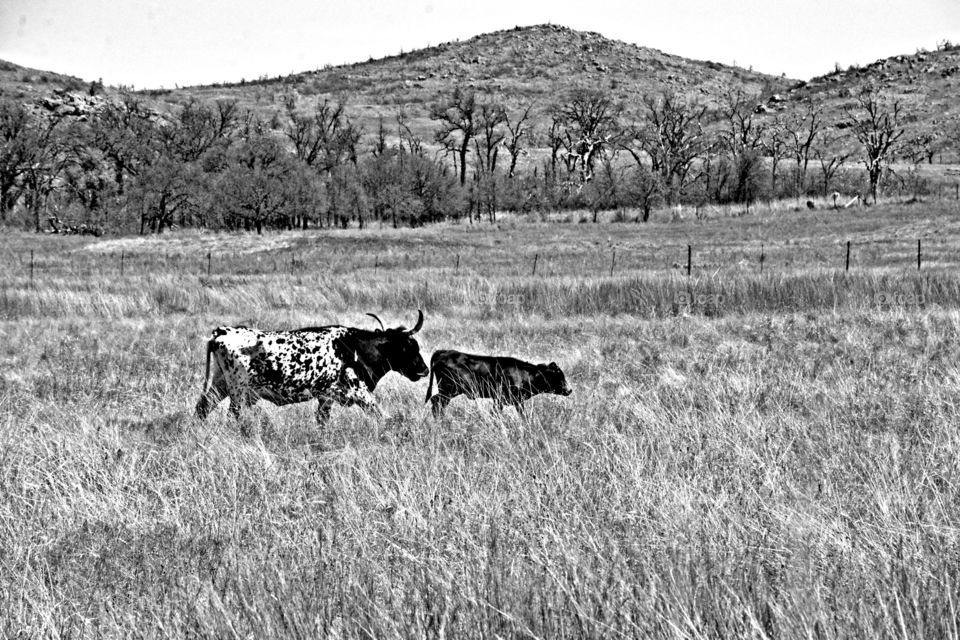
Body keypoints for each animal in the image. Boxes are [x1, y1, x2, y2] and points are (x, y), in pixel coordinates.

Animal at [195, 311, 428, 428]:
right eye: (408, 347)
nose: (424, 370)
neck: (355, 348)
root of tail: (222, 332)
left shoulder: (326, 397)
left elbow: (322, 421)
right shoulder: (360, 393)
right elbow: (380, 415)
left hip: (220, 384)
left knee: (202, 407)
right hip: (238, 390)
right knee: (232, 415)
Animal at [424, 349, 572, 418]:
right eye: (558, 376)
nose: (569, 390)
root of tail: (444, 351)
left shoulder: (515, 401)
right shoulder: (501, 399)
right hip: (449, 390)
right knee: (436, 402)